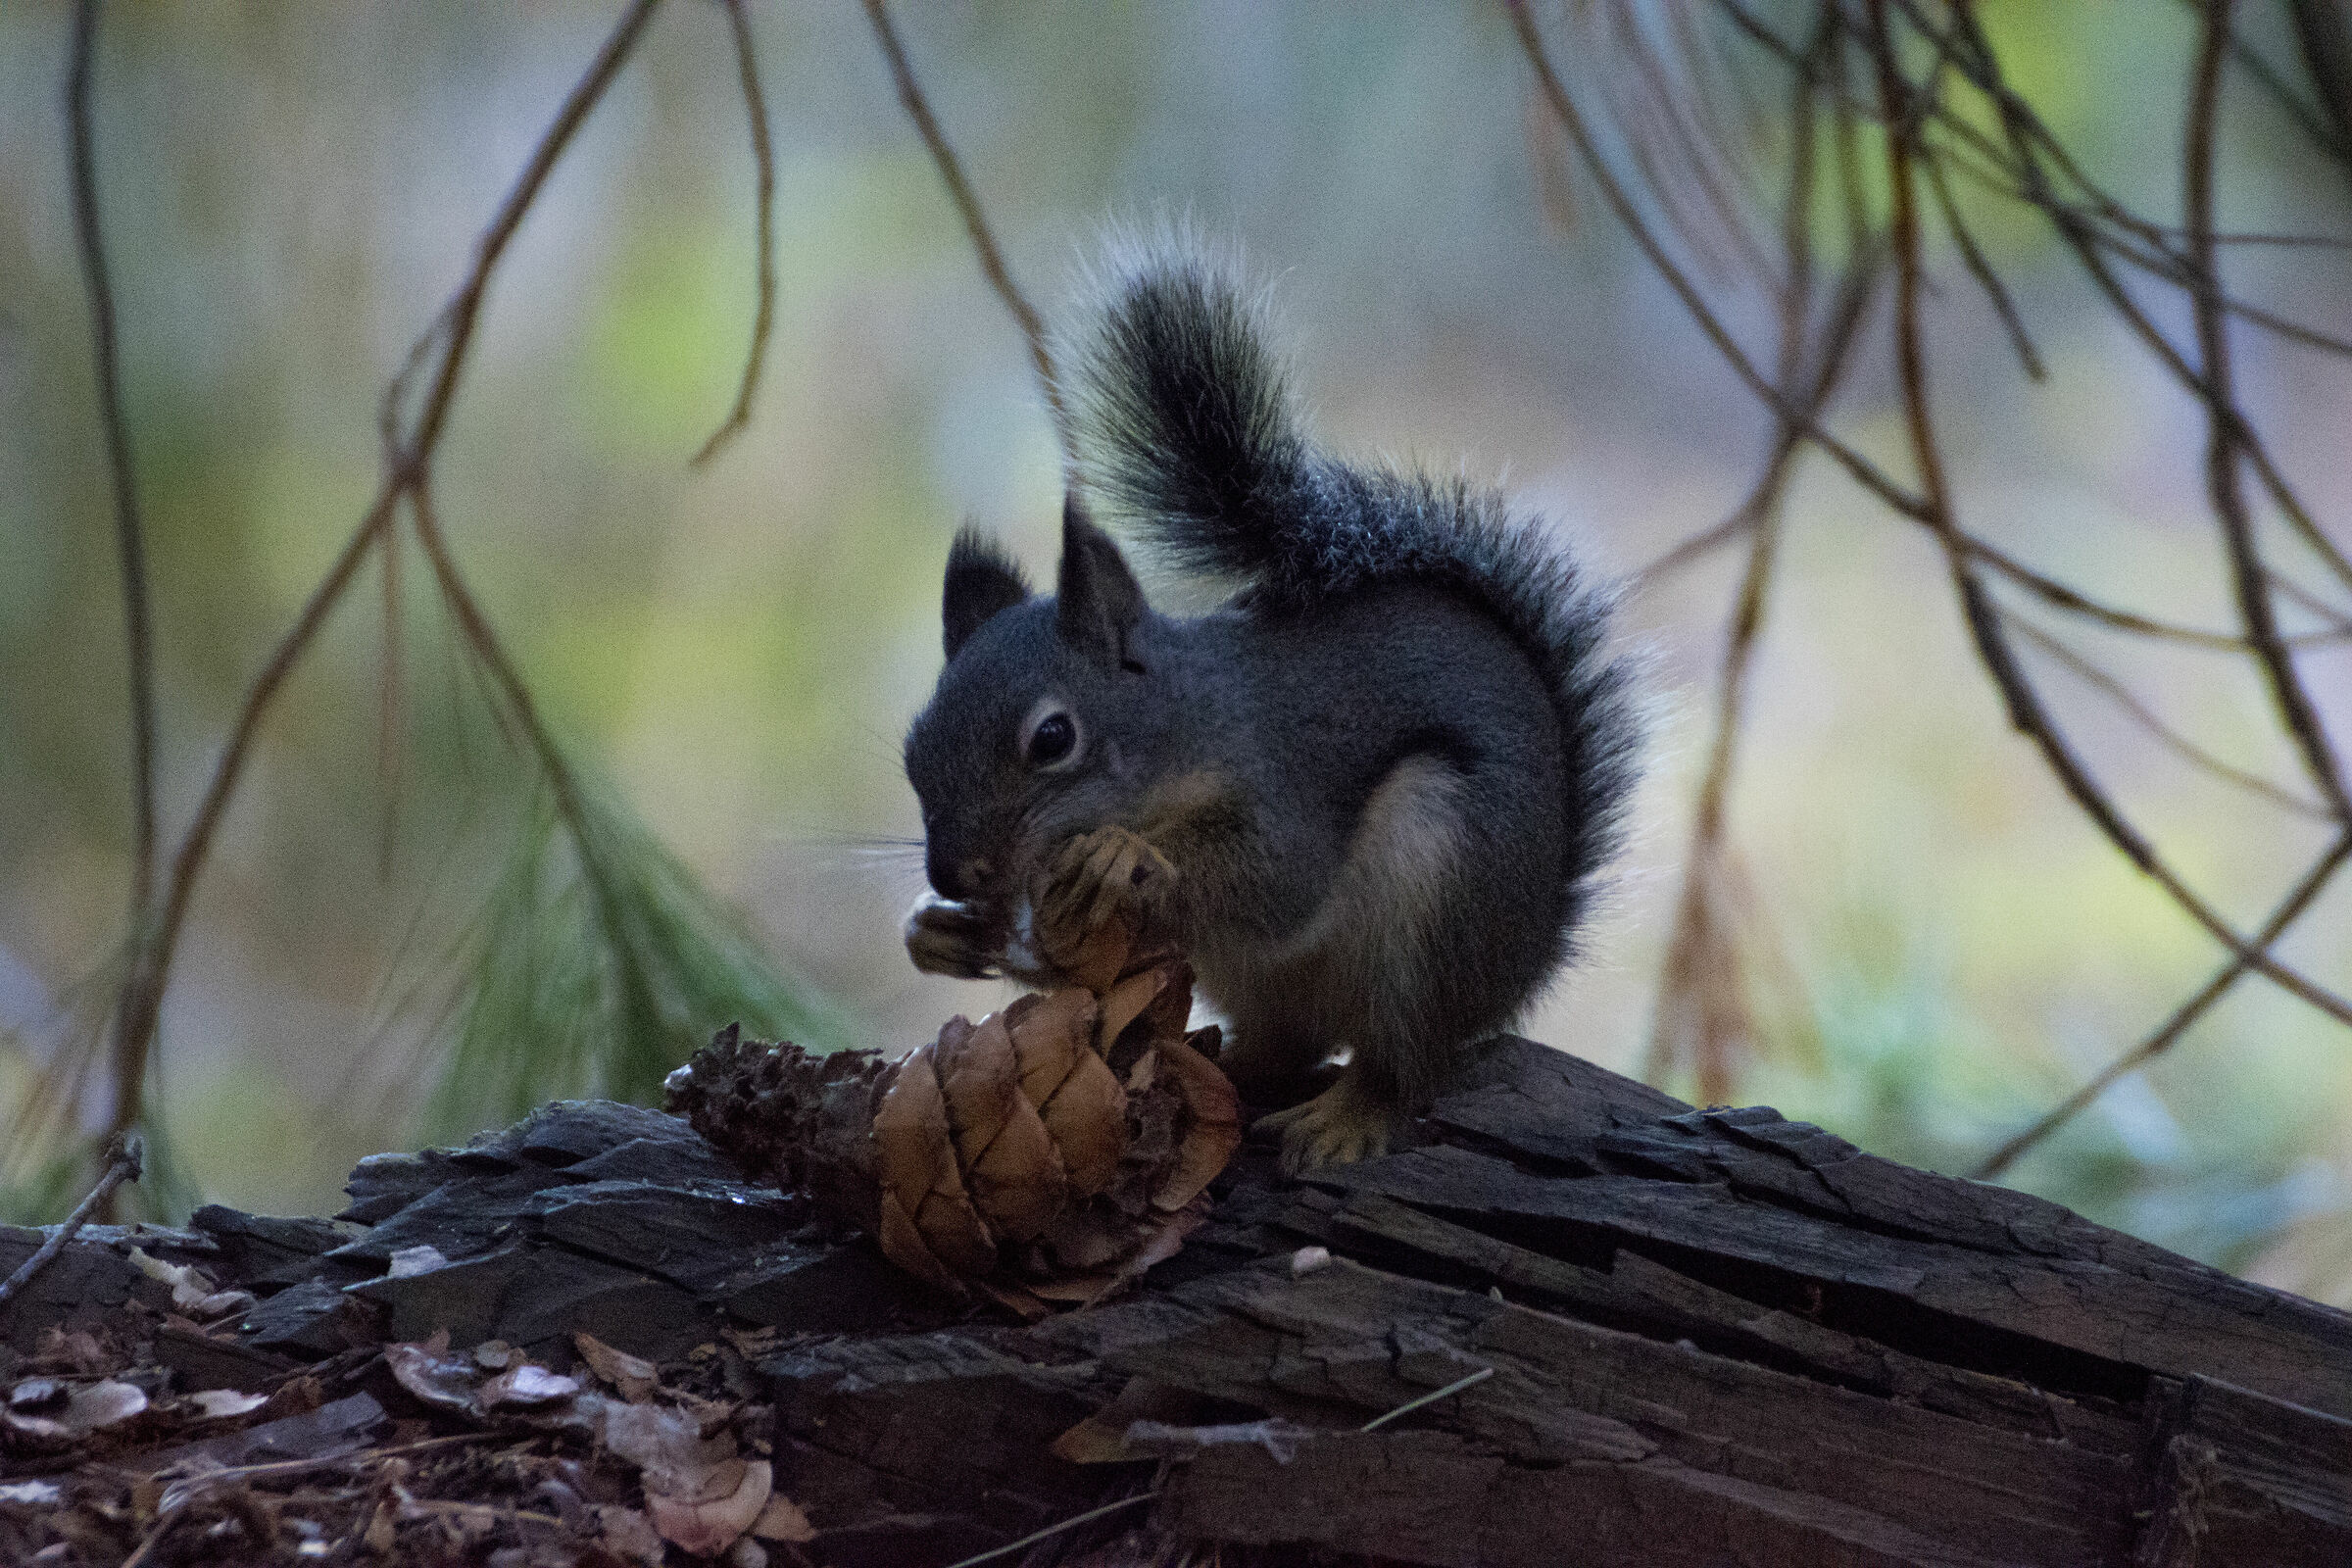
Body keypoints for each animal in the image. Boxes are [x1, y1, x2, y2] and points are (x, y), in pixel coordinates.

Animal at [900, 244, 1638, 1172]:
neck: (1190, 726)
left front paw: (1127, 857)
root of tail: (1528, 957)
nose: (952, 873)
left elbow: (1281, 882)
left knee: (1401, 1061)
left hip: (1441, 885)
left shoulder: (1284, 777)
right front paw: (934, 930)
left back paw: (1348, 1117)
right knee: (1286, 1042)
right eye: (913, 751)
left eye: (1054, 738)